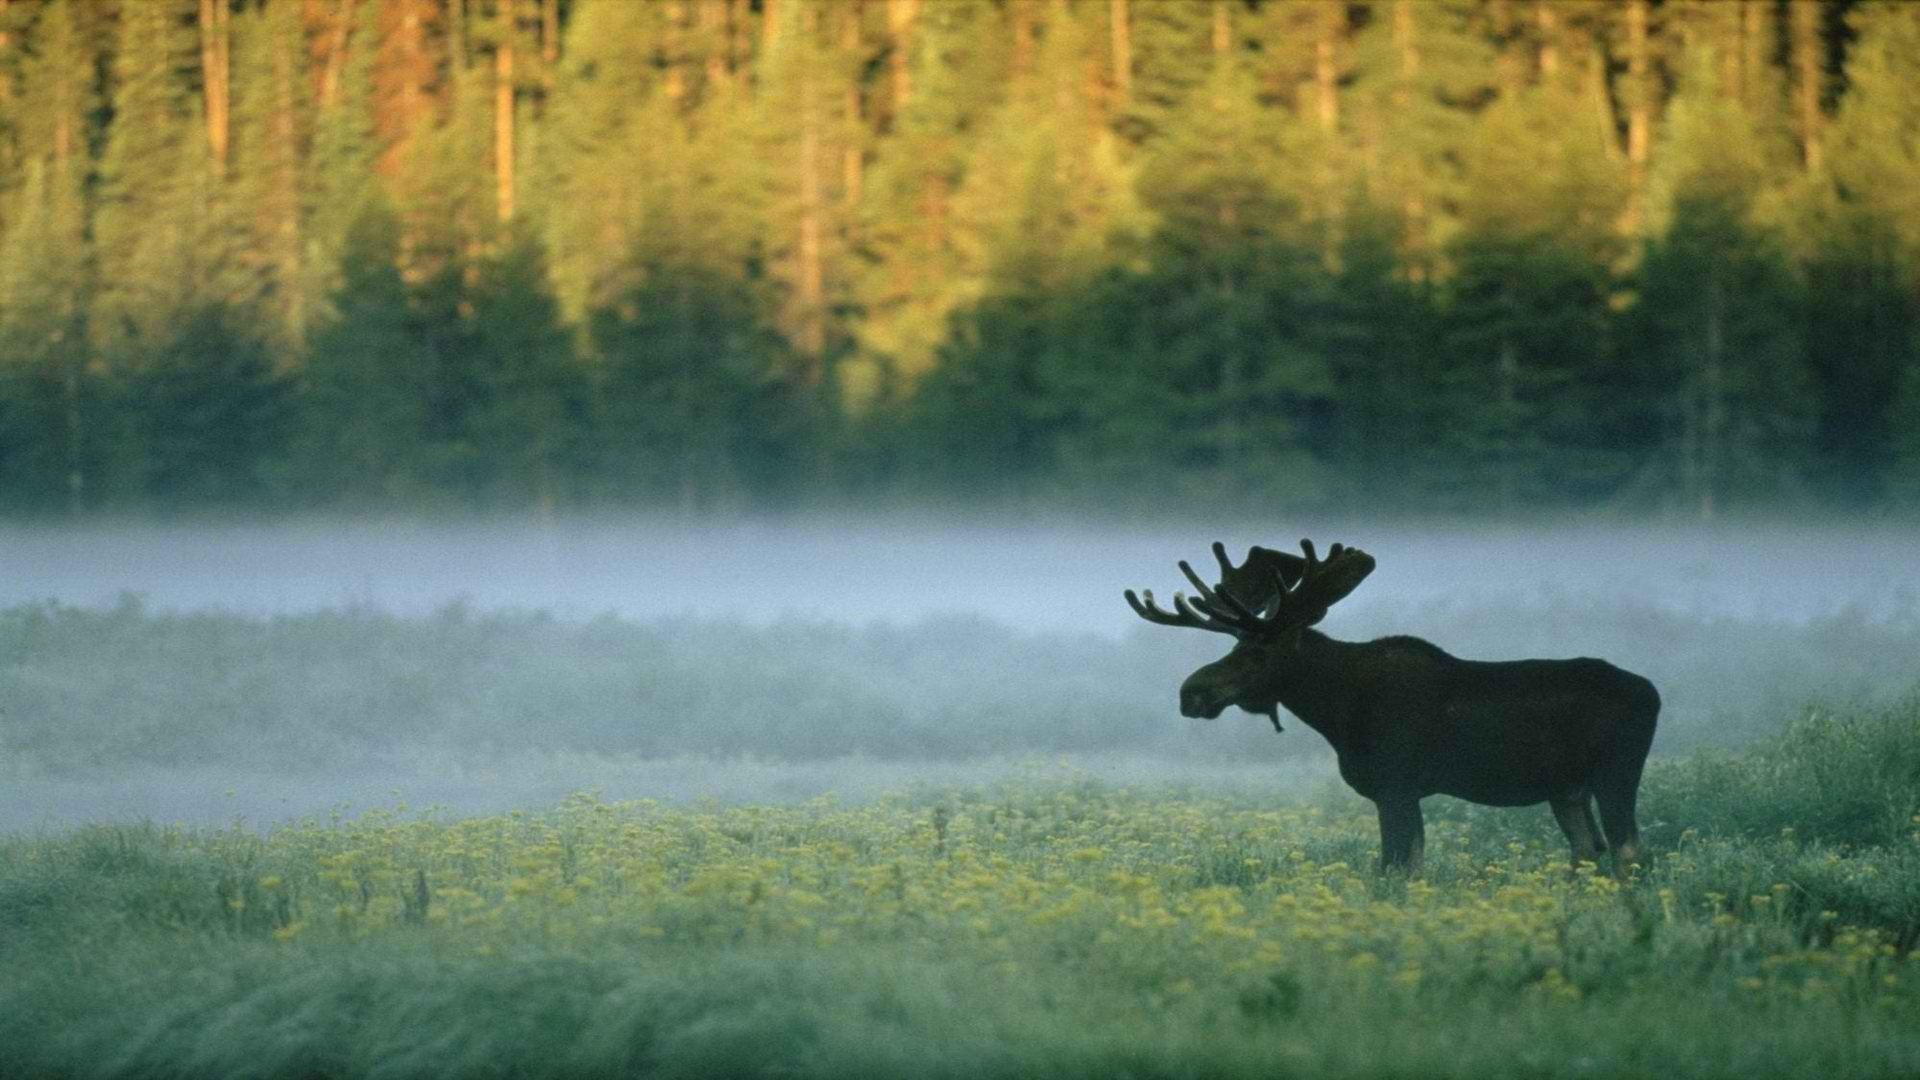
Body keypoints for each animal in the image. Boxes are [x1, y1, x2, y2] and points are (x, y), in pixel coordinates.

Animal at [1128, 538, 1658, 876]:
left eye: (1258, 651)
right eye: (1235, 646)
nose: (1191, 692)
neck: (1335, 710)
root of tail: (1654, 694)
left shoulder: (1396, 785)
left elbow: (1398, 869)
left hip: (1616, 770)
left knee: (1627, 848)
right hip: (1566, 788)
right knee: (1588, 848)